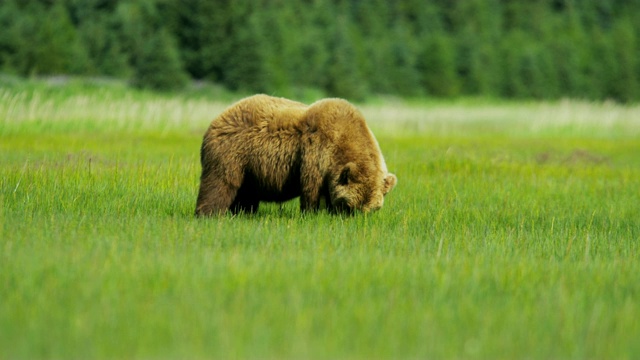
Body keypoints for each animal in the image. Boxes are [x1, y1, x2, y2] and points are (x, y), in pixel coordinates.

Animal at [194, 94, 396, 215]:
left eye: (372, 210)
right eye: (348, 206)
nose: (354, 219)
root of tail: (219, 116)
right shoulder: (314, 155)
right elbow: (311, 191)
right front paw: (313, 213)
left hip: (250, 169)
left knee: (246, 193)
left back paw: (243, 213)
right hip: (232, 152)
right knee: (220, 183)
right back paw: (209, 214)